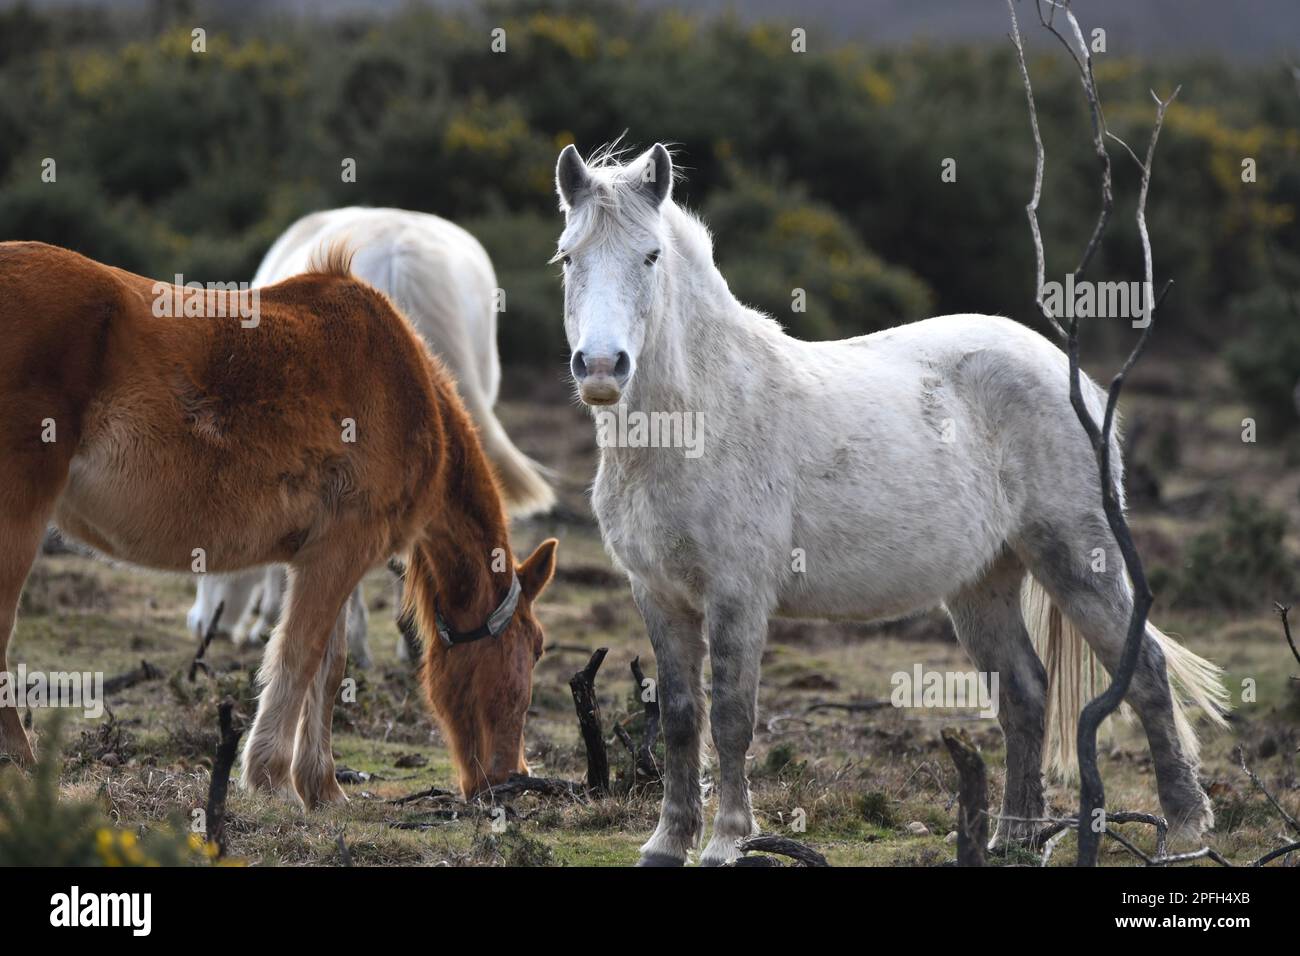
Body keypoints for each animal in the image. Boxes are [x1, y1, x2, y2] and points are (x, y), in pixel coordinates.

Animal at [551, 141, 1227, 868]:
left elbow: (731, 716)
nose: (601, 367)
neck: (698, 416)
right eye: (568, 256)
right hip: (982, 583)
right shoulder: (658, 594)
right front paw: (666, 843)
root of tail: (1070, 375)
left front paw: (728, 841)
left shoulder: (737, 595)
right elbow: (680, 717)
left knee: (1146, 669)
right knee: (1024, 693)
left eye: (650, 256)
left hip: (1079, 556)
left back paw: (1186, 825)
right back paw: (1013, 839)